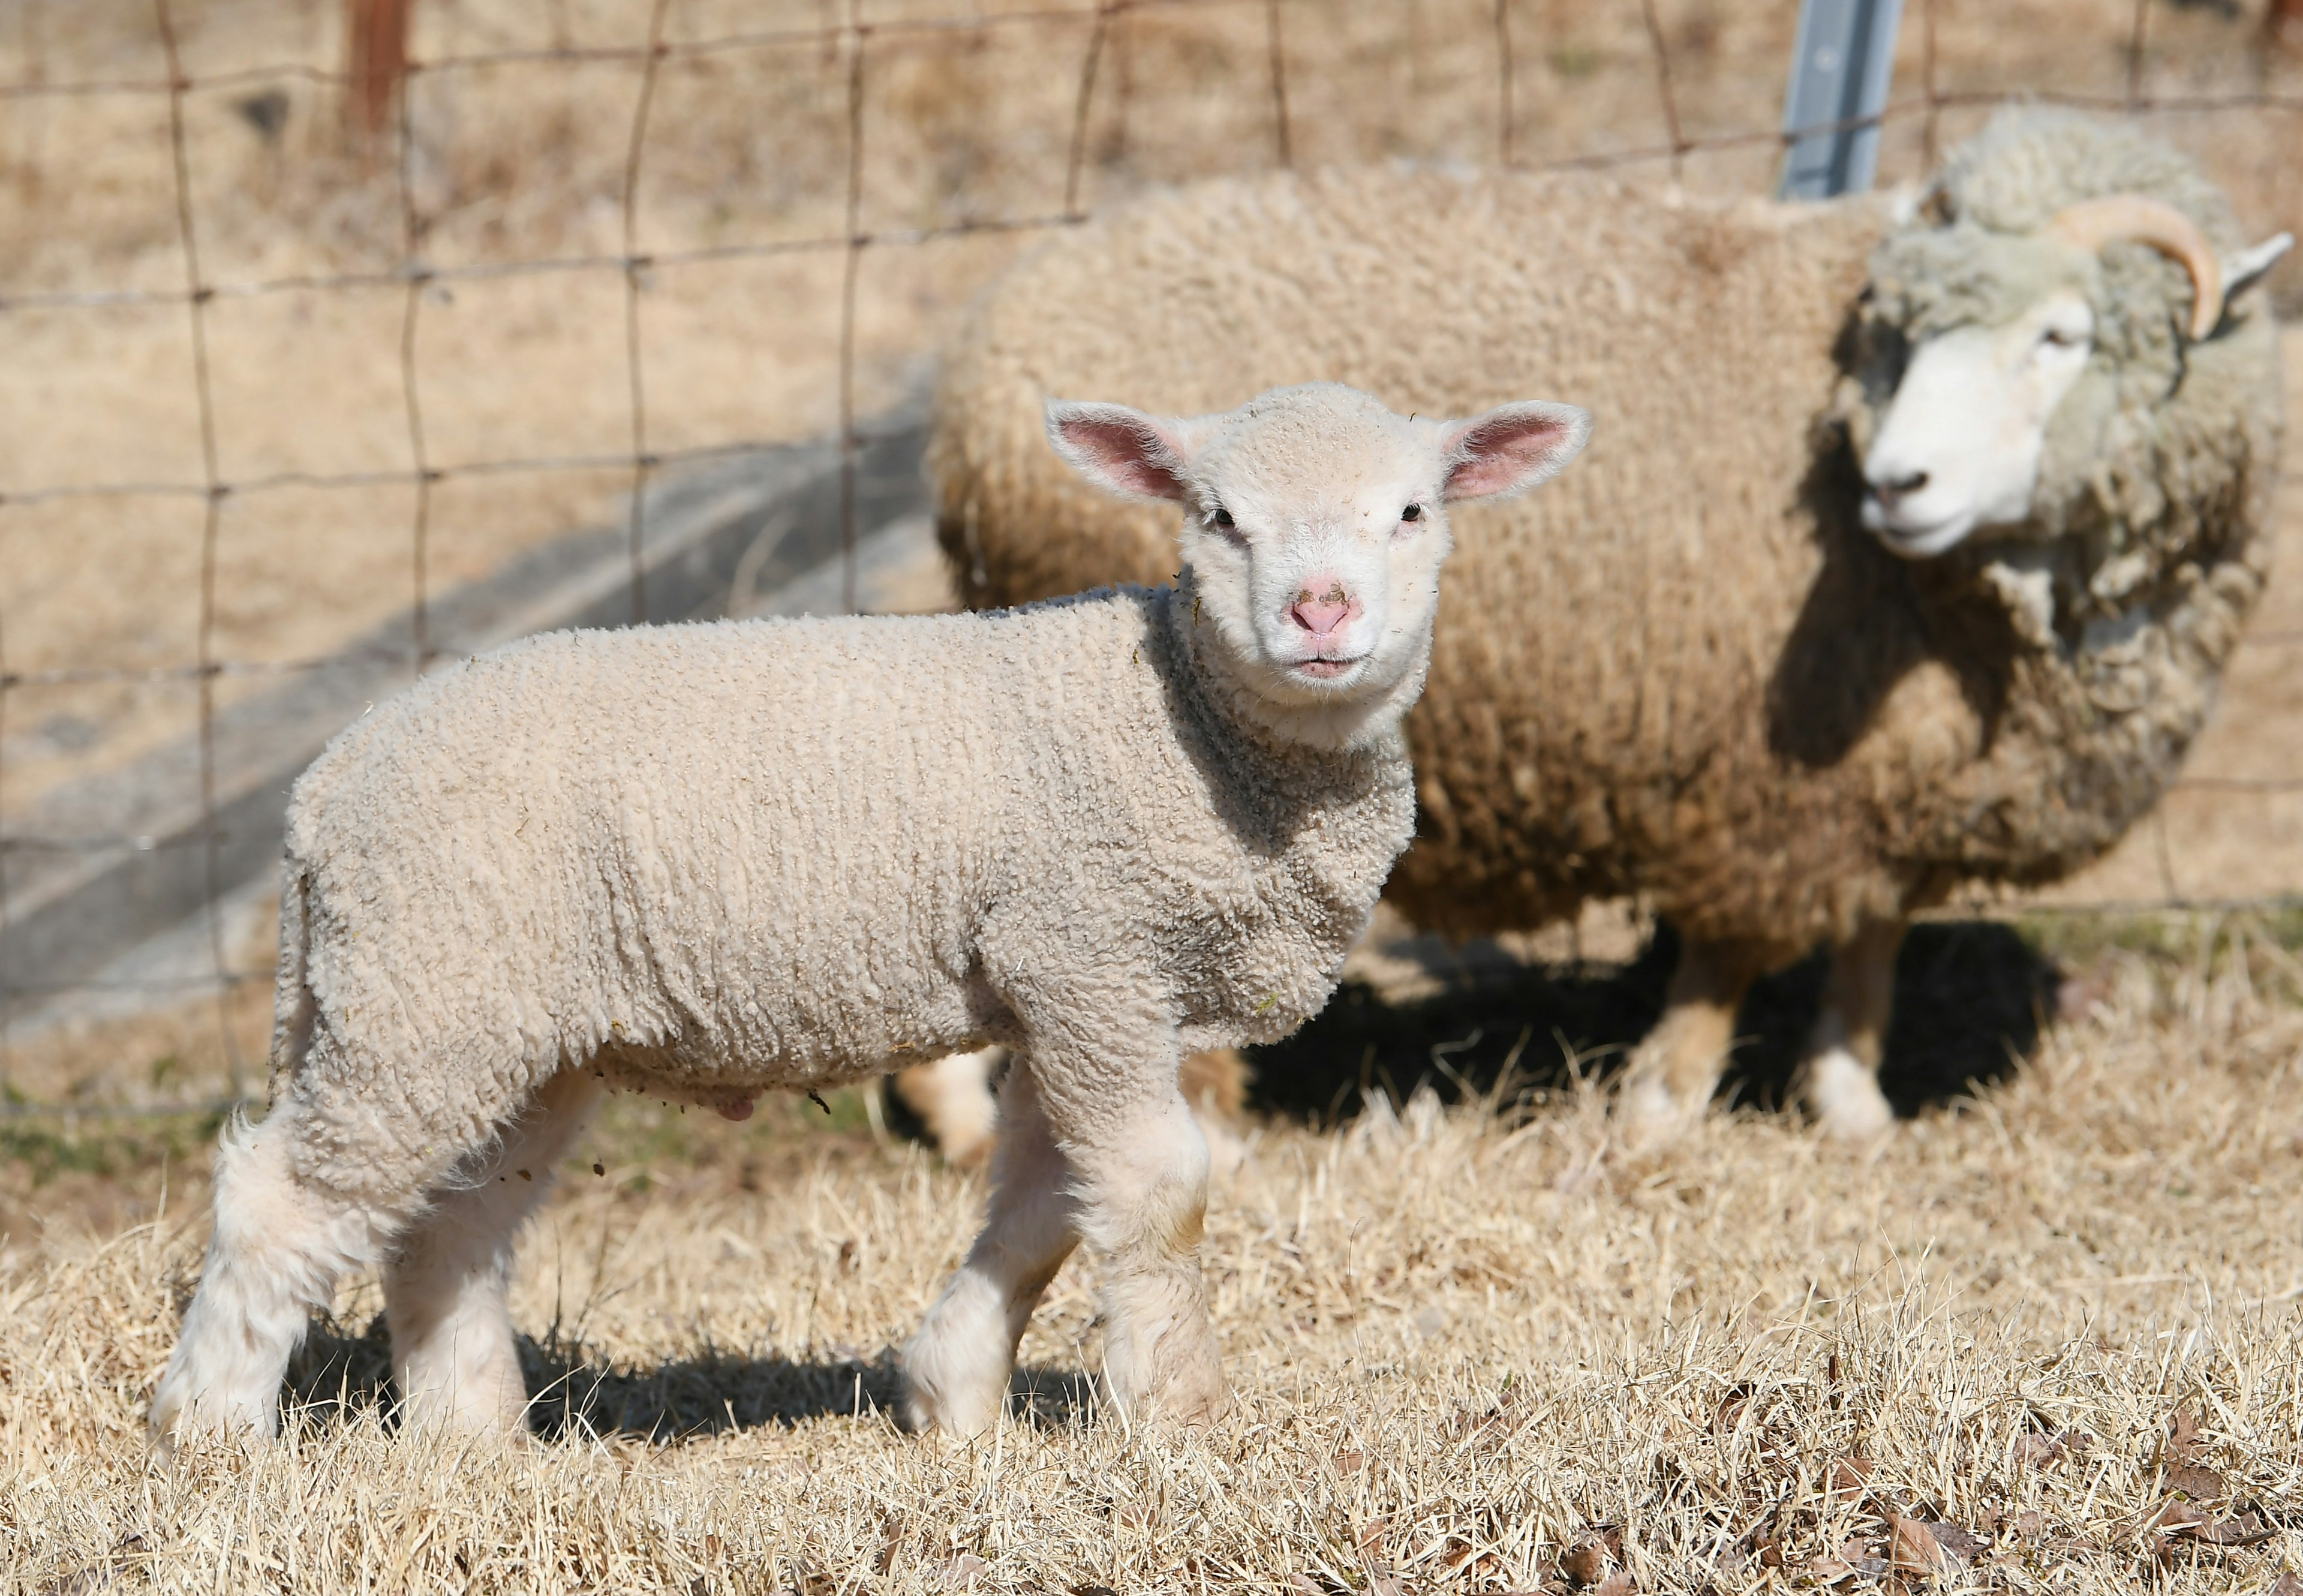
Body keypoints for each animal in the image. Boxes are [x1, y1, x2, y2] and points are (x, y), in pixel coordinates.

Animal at [139, 377, 1584, 1446]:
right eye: (1220, 516)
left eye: (1413, 509)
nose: (1320, 612)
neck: (1187, 725)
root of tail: (324, 790)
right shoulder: (1090, 954)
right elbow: (1156, 1189)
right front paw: (1178, 1417)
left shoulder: (1080, 986)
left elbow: (1046, 1199)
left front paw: (953, 1395)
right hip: (423, 985)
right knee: (281, 1199)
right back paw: (211, 1435)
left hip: (501, 1020)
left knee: (450, 1225)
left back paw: (473, 1443)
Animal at [930, 106, 2284, 1137]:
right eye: (1896, 342)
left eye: (2063, 335)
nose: (1898, 483)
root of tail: (978, 377)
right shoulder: (1765, 777)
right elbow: (1731, 955)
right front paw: (1663, 1109)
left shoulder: (1895, 772)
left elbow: (1874, 940)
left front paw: (1853, 1105)